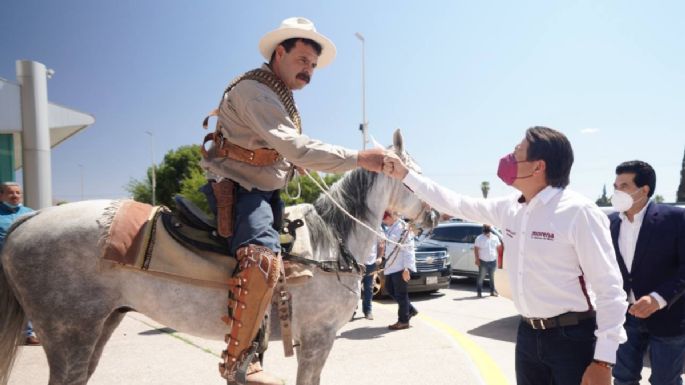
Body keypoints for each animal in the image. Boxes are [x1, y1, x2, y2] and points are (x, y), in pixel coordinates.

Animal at [0, 130, 436, 384]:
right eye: (414, 177)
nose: (435, 214)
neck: (331, 243)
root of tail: (29, 220)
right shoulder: (318, 338)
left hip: (100, 324)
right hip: (69, 334)